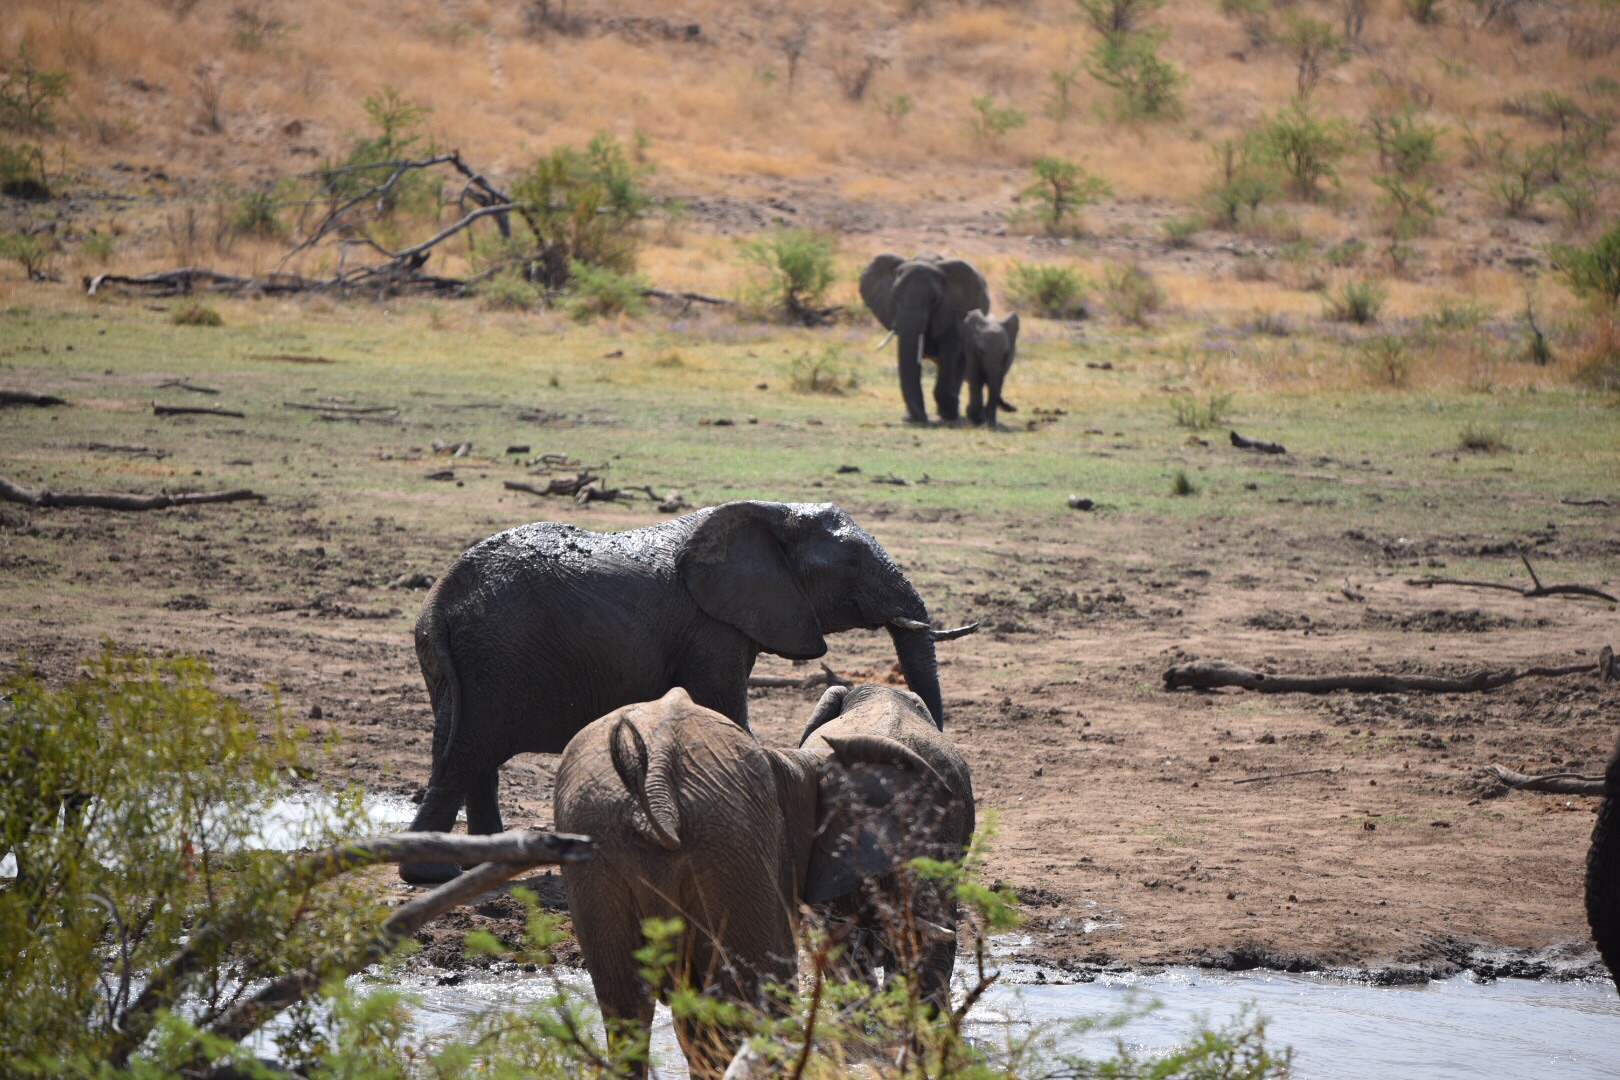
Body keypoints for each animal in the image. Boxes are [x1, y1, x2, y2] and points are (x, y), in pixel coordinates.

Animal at [403, 501, 965, 880]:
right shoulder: (711, 629)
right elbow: (724, 707)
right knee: (468, 752)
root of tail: (441, 599)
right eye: (850, 563)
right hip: (494, 654)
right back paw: (431, 875)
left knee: (467, 752)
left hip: (463, 664)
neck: (771, 515)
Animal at [554, 689, 946, 1075]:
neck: (797, 763)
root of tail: (656, 791)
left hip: (603, 851)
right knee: (759, 1003)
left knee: (624, 1008)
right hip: (730, 850)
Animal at [861, 250, 984, 424]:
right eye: (894, 295)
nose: (919, 418)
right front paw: (910, 417)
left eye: (934, 300)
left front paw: (946, 414)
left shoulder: (954, 309)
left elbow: (950, 352)